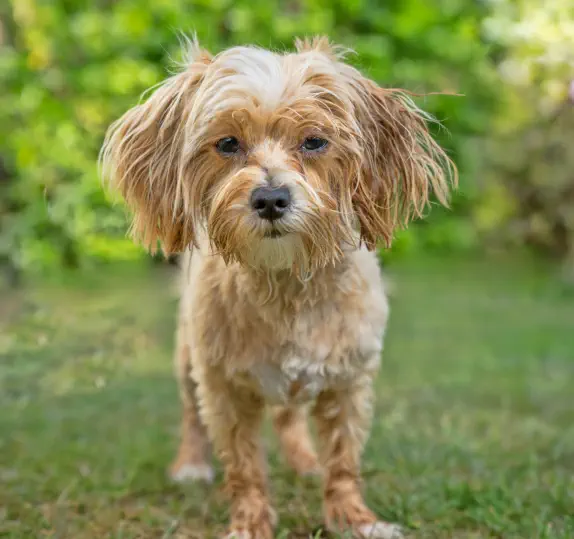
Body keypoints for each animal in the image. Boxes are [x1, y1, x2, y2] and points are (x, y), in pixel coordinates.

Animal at [101, 36, 456, 539]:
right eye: (228, 143)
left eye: (315, 141)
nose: (270, 198)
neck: (286, 282)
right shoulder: (223, 386)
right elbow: (244, 466)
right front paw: (250, 523)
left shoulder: (349, 381)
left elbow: (344, 460)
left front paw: (355, 518)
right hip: (187, 355)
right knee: (192, 414)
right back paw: (191, 463)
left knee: (290, 418)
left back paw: (305, 460)